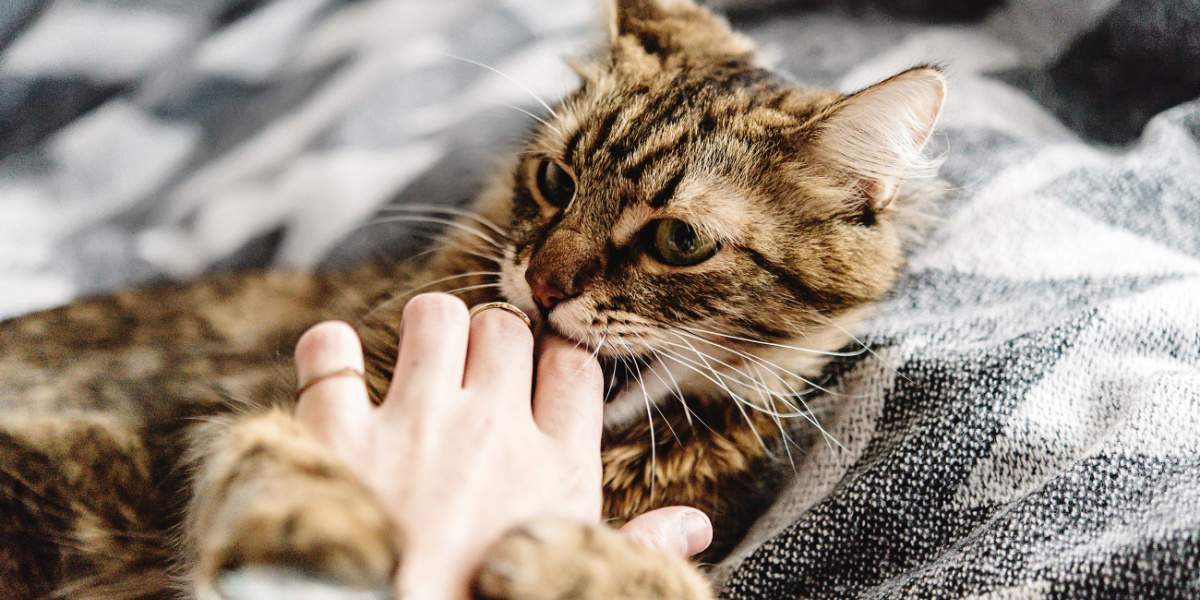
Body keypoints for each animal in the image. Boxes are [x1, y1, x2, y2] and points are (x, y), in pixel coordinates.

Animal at [0, 1, 945, 600]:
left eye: (680, 241)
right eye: (556, 182)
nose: (545, 280)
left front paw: (582, 565)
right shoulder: (222, 413)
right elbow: (279, 460)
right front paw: (321, 542)